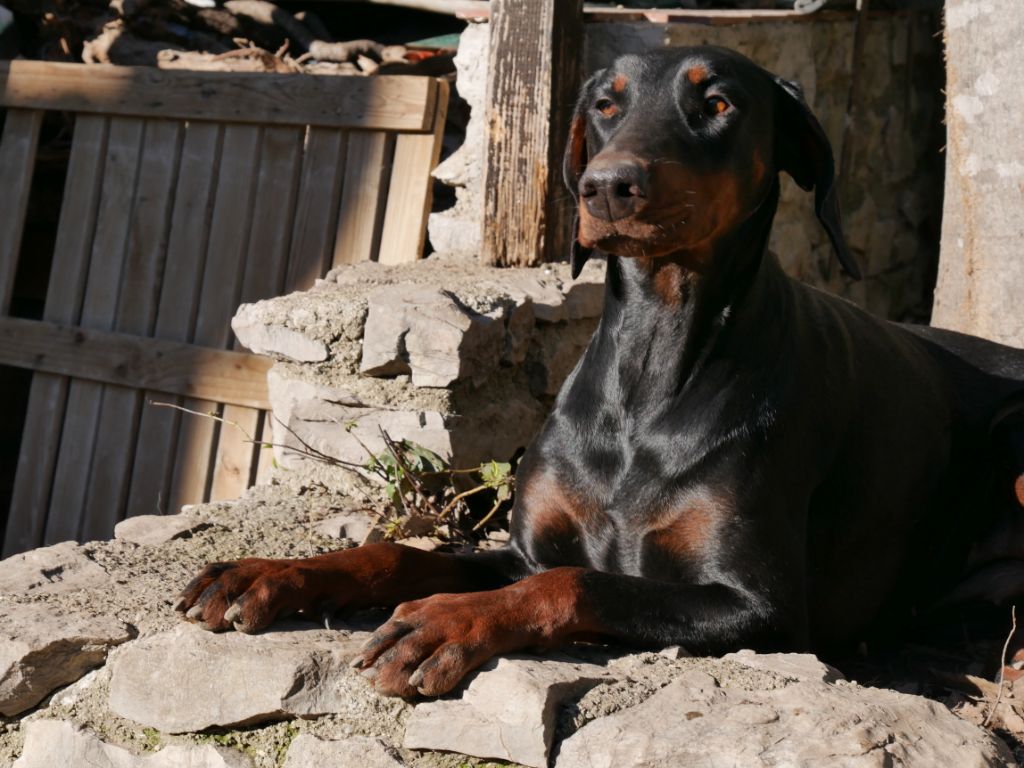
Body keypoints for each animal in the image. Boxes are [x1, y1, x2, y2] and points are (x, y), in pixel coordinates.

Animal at [176, 46, 1024, 698]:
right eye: (608, 104)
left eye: (716, 102)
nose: (606, 186)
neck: (649, 370)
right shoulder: (526, 547)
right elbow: (399, 553)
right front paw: (266, 573)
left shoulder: (761, 609)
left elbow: (576, 583)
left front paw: (444, 621)